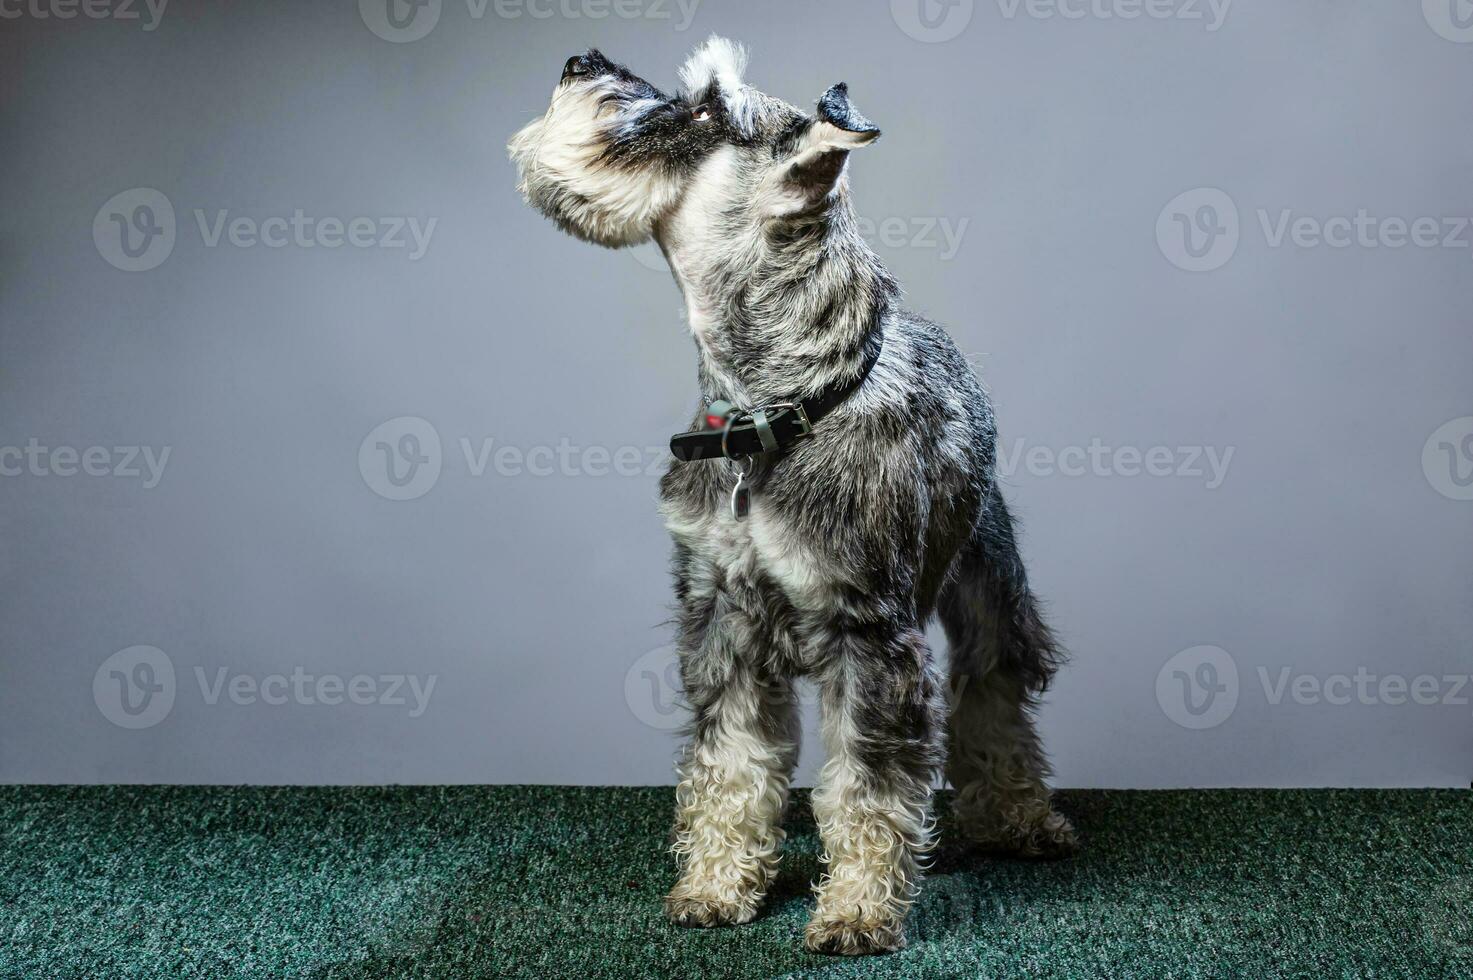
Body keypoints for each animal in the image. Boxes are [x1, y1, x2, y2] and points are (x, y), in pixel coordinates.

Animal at [512, 40, 1078, 954]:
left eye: (707, 109)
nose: (578, 60)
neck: (770, 410)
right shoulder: (721, 626)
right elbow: (728, 769)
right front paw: (714, 887)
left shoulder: (869, 635)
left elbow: (868, 787)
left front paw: (856, 910)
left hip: (988, 578)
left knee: (993, 695)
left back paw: (1021, 817)